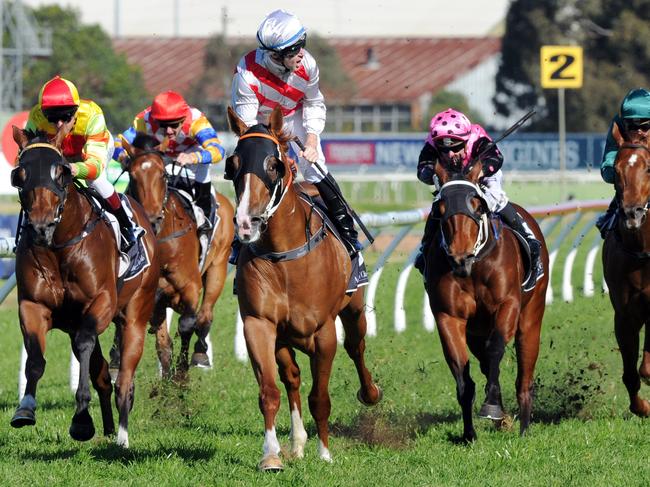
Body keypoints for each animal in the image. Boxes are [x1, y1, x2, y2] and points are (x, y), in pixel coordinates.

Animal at [9, 127, 158, 450]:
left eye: (61, 172)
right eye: (20, 174)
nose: (40, 227)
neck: (59, 246)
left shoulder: (101, 302)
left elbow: (85, 344)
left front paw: (80, 419)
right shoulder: (33, 306)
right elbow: (35, 359)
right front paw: (25, 408)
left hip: (136, 314)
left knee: (123, 381)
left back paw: (121, 437)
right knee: (102, 376)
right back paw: (108, 428)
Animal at [117, 135, 234, 380]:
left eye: (163, 174)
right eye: (132, 175)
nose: (152, 219)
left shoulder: (190, 286)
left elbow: (187, 324)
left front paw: (180, 376)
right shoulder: (152, 298)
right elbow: (163, 344)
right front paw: (167, 380)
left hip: (218, 268)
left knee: (205, 315)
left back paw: (200, 353)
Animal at [227, 107, 382, 472]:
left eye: (273, 165)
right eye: (233, 165)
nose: (247, 223)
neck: (284, 255)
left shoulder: (323, 333)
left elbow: (320, 397)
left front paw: (325, 453)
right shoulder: (259, 324)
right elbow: (270, 391)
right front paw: (271, 455)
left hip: (353, 309)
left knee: (356, 347)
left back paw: (370, 393)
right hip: (284, 338)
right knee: (292, 377)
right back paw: (296, 443)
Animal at [426, 157, 548, 442]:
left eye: (477, 204)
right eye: (440, 207)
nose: (460, 258)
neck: (473, 268)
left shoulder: (508, 305)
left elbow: (496, 349)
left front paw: (492, 406)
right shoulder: (449, 317)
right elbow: (463, 374)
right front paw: (469, 433)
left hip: (530, 318)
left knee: (524, 374)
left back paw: (524, 427)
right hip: (475, 331)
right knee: (484, 363)